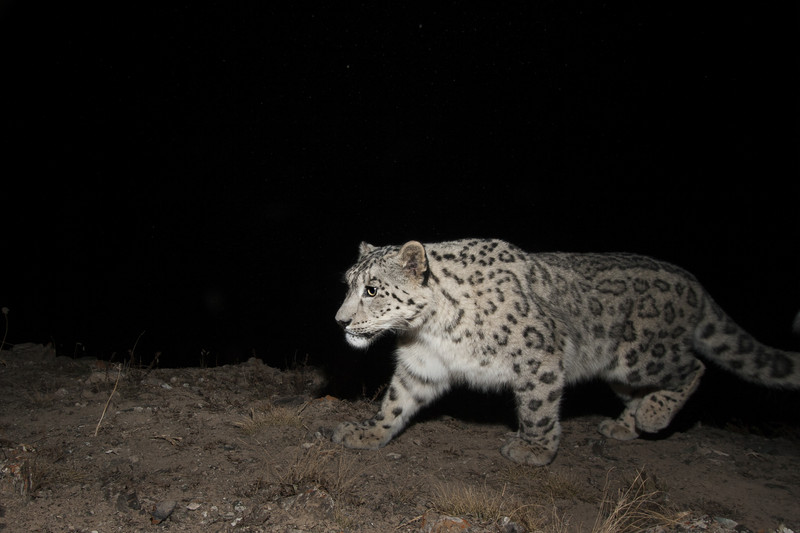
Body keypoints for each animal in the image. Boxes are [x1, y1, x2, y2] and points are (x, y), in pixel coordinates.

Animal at [332, 239, 799, 465]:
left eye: (372, 289)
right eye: (349, 284)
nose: (340, 321)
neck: (429, 331)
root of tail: (695, 283)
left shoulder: (538, 352)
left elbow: (538, 406)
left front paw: (534, 450)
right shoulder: (422, 364)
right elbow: (397, 401)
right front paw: (366, 433)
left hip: (642, 355)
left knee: (694, 366)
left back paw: (652, 416)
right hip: (621, 372)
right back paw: (624, 426)